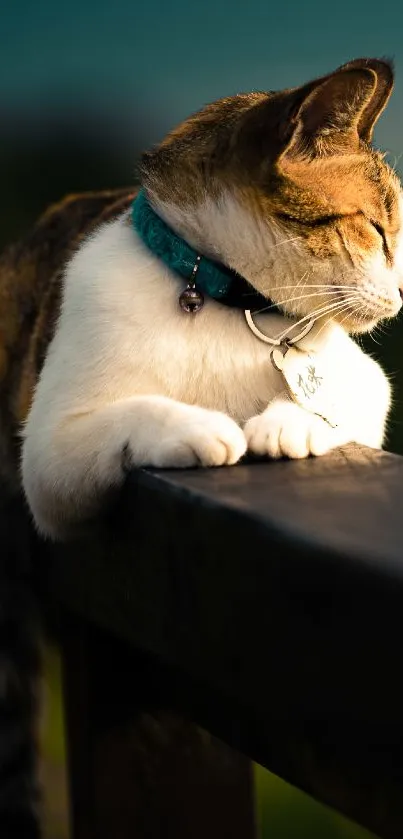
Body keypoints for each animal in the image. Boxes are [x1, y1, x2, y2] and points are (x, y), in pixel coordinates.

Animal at [1, 59, 402, 552]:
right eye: (378, 231)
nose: (402, 293)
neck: (227, 298)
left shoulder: (370, 382)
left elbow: (341, 400)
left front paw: (288, 424)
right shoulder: (49, 452)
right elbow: (137, 409)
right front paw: (201, 428)